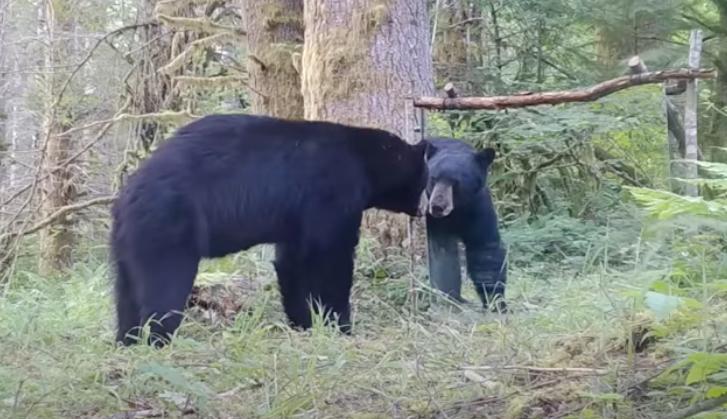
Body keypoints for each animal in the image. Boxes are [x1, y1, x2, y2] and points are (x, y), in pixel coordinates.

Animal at [111, 114, 430, 347]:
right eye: (425, 181)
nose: (428, 209)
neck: (365, 161)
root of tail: (127, 197)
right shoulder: (331, 191)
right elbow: (329, 258)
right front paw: (340, 325)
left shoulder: (295, 219)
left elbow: (292, 262)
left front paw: (304, 323)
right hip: (168, 229)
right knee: (163, 288)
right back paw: (157, 340)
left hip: (127, 246)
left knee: (127, 295)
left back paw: (127, 340)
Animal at [423, 137, 507, 311]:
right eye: (433, 178)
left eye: (455, 182)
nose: (437, 206)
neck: (456, 211)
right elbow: (441, 253)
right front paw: (446, 296)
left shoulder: (477, 206)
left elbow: (484, 249)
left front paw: (496, 302)